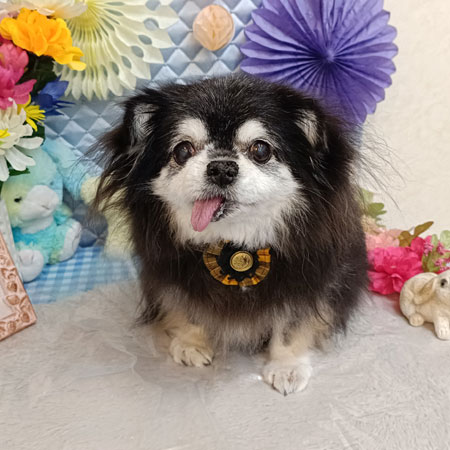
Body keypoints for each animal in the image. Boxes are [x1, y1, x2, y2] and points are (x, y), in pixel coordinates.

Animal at [94, 74, 367, 395]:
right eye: (182, 150)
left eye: (261, 150)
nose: (221, 168)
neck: (235, 243)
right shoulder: (174, 275)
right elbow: (188, 308)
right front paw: (191, 343)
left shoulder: (307, 281)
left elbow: (291, 325)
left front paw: (286, 366)